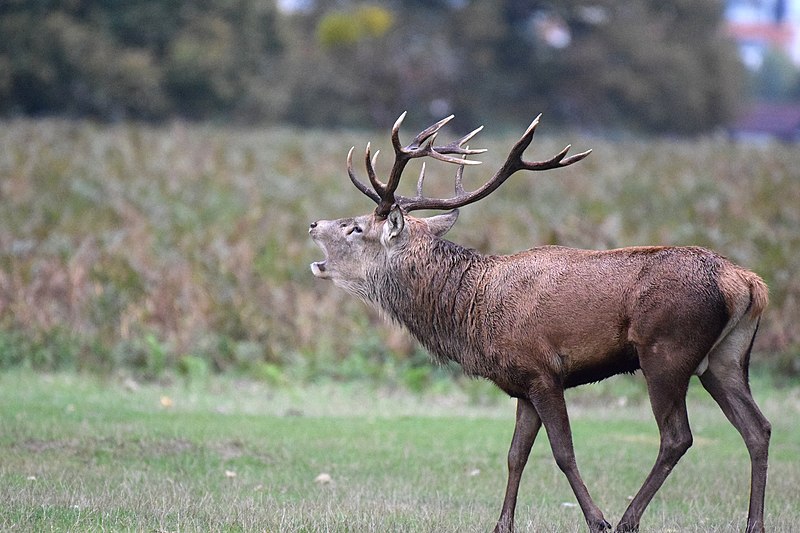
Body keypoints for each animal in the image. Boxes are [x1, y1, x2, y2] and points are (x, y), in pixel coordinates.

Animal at [308, 113, 768, 532]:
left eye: (356, 228)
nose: (313, 223)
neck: (473, 313)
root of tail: (746, 282)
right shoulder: (522, 385)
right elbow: (516, 456)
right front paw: (502, 524)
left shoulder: (544, 371)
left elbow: (563, 452)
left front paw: (597, 520)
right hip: (726, 359)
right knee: (757, 428)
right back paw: (754, 523)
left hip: (666, 351)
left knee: (677, 437)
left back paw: (626, 520)